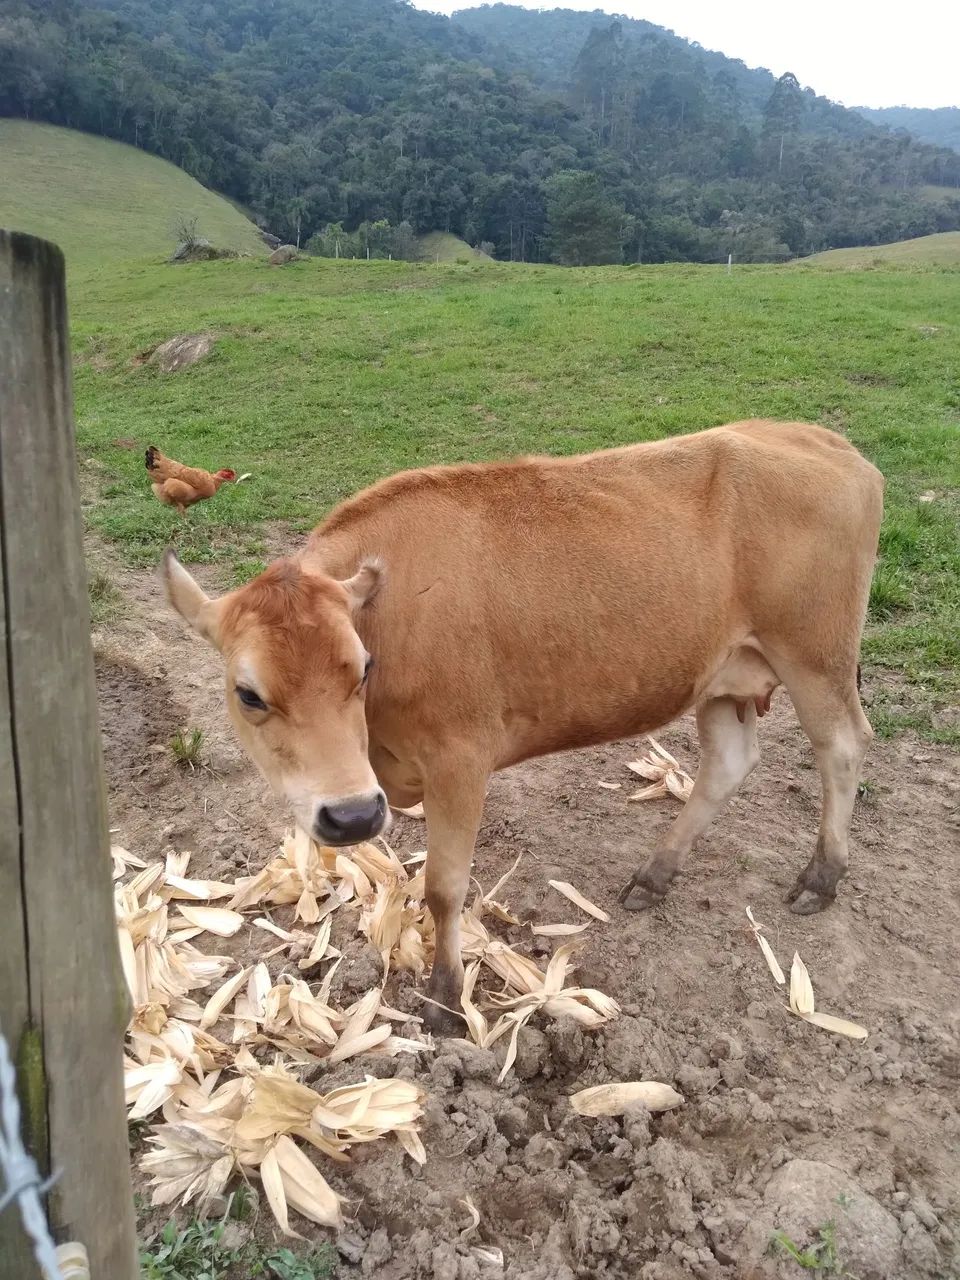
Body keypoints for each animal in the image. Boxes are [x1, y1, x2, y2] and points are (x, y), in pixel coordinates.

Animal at [163, 419, 883, 1033]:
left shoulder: (460, 757)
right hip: (721, 673)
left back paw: (821, 877)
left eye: (362, 668)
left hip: (815, 655)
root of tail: (825, 440)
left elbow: (445, 888)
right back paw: (655, 874)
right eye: (248, 693)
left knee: (842, 747)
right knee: (729, 762)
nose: (352, 816)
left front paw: (446, 999)